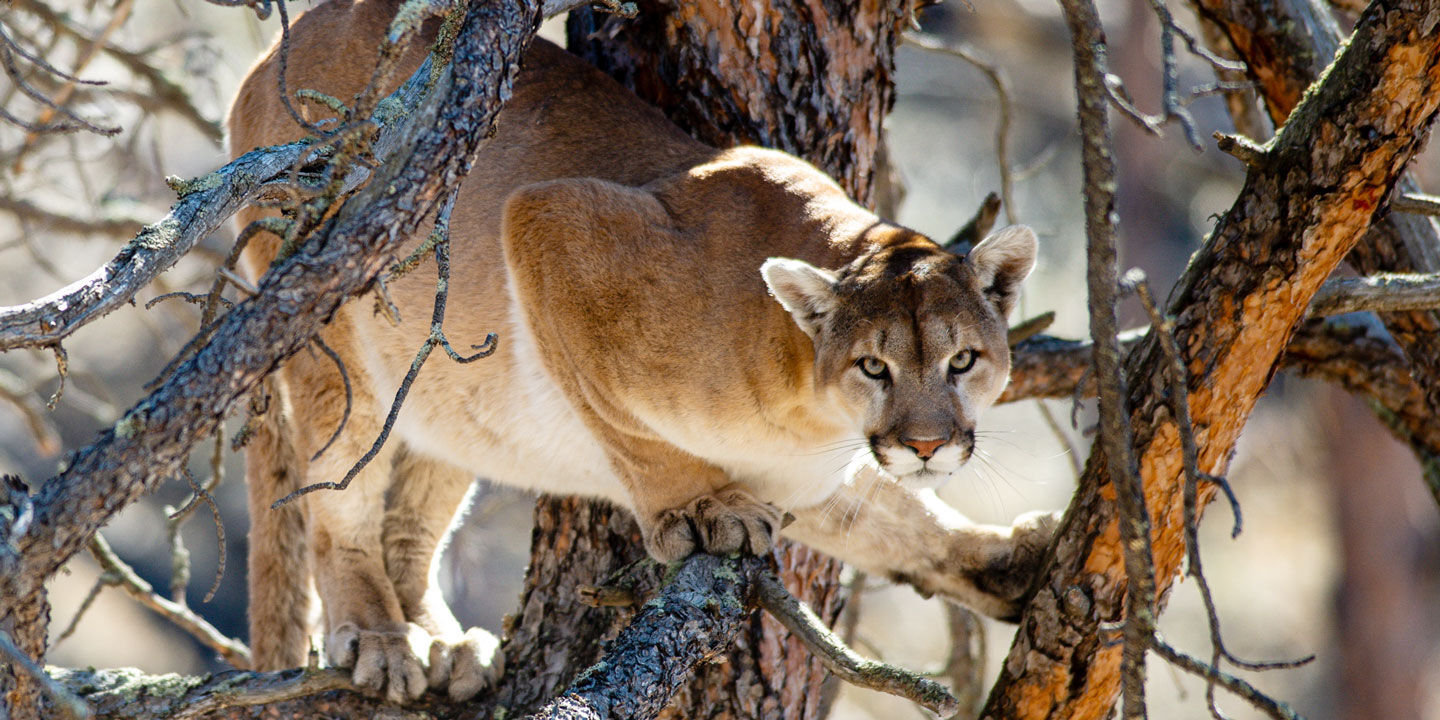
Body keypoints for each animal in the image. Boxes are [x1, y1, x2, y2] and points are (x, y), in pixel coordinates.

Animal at [227, 0, 1059, 702]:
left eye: (962, 361)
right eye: (874, 366)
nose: (926, 445)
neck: (809, 407)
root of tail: (269, 56)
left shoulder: (807, 475)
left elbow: (894, 519)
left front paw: (1009, 562)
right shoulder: (549, 226)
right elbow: (630, 431)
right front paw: (695, 510)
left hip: (448, 390)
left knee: (408, 523)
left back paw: (441, 645)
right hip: (338, 337)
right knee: (338, 502)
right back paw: (380, 637)